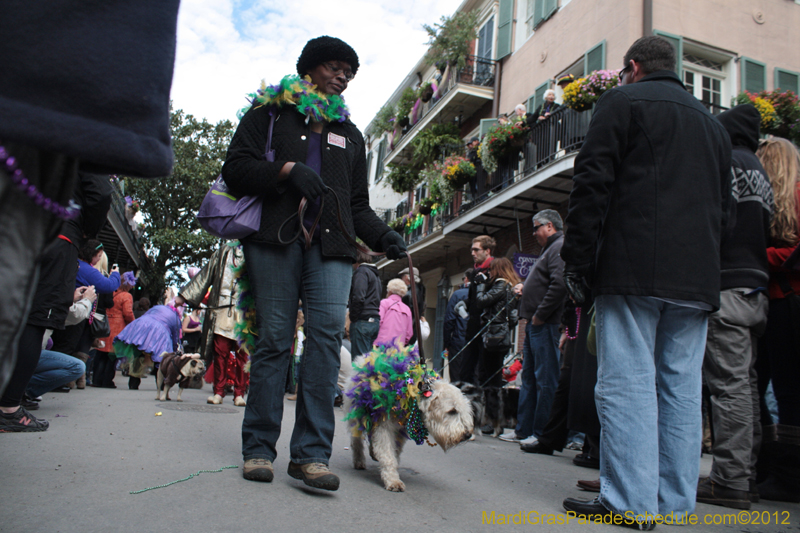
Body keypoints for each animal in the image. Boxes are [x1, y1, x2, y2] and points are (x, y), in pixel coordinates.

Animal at [346, 348, 472, 492]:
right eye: (452, 411)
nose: (467, 435)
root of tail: (363, 357)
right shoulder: (385, 427)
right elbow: (388, 454)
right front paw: (393, 481)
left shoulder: (399, 431)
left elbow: (394, 453)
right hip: (356, 414)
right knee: (356, 440)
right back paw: (359, 460)